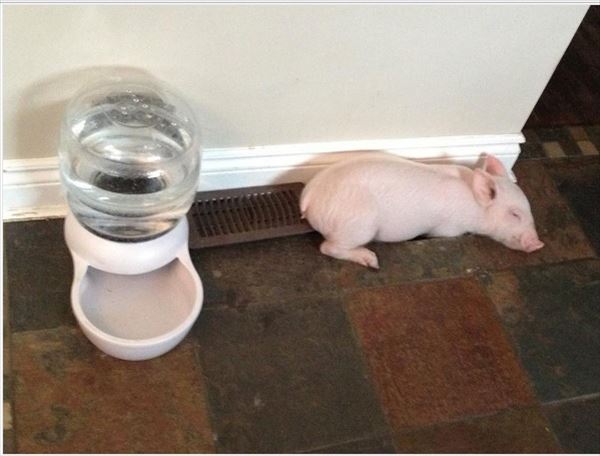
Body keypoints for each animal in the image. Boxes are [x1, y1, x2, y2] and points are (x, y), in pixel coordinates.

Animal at [300, 153, 544, 269]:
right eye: (514, 214)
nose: (538, 244)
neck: (474, 207)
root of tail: (309, 197)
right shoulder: (449, 229)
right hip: (358, 224)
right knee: (327, 247)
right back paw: (372, 261)